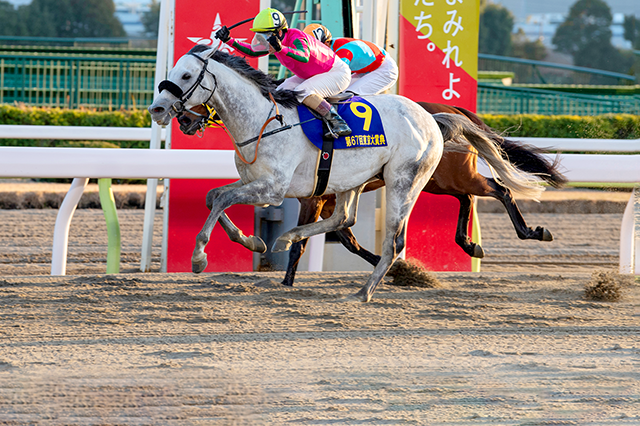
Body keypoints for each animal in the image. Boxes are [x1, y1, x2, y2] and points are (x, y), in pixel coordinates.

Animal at [179, 101, 564, 284]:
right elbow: (345, 236)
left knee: (498, 189)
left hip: (447, 176)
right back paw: (470, 244)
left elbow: (308, 239)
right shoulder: (326, 198)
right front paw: (397, 268)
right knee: (469, 197)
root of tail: (451, 111)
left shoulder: (313, 197)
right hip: (440, 181)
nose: (183, 119)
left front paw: (286, 280)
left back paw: (531, 231)